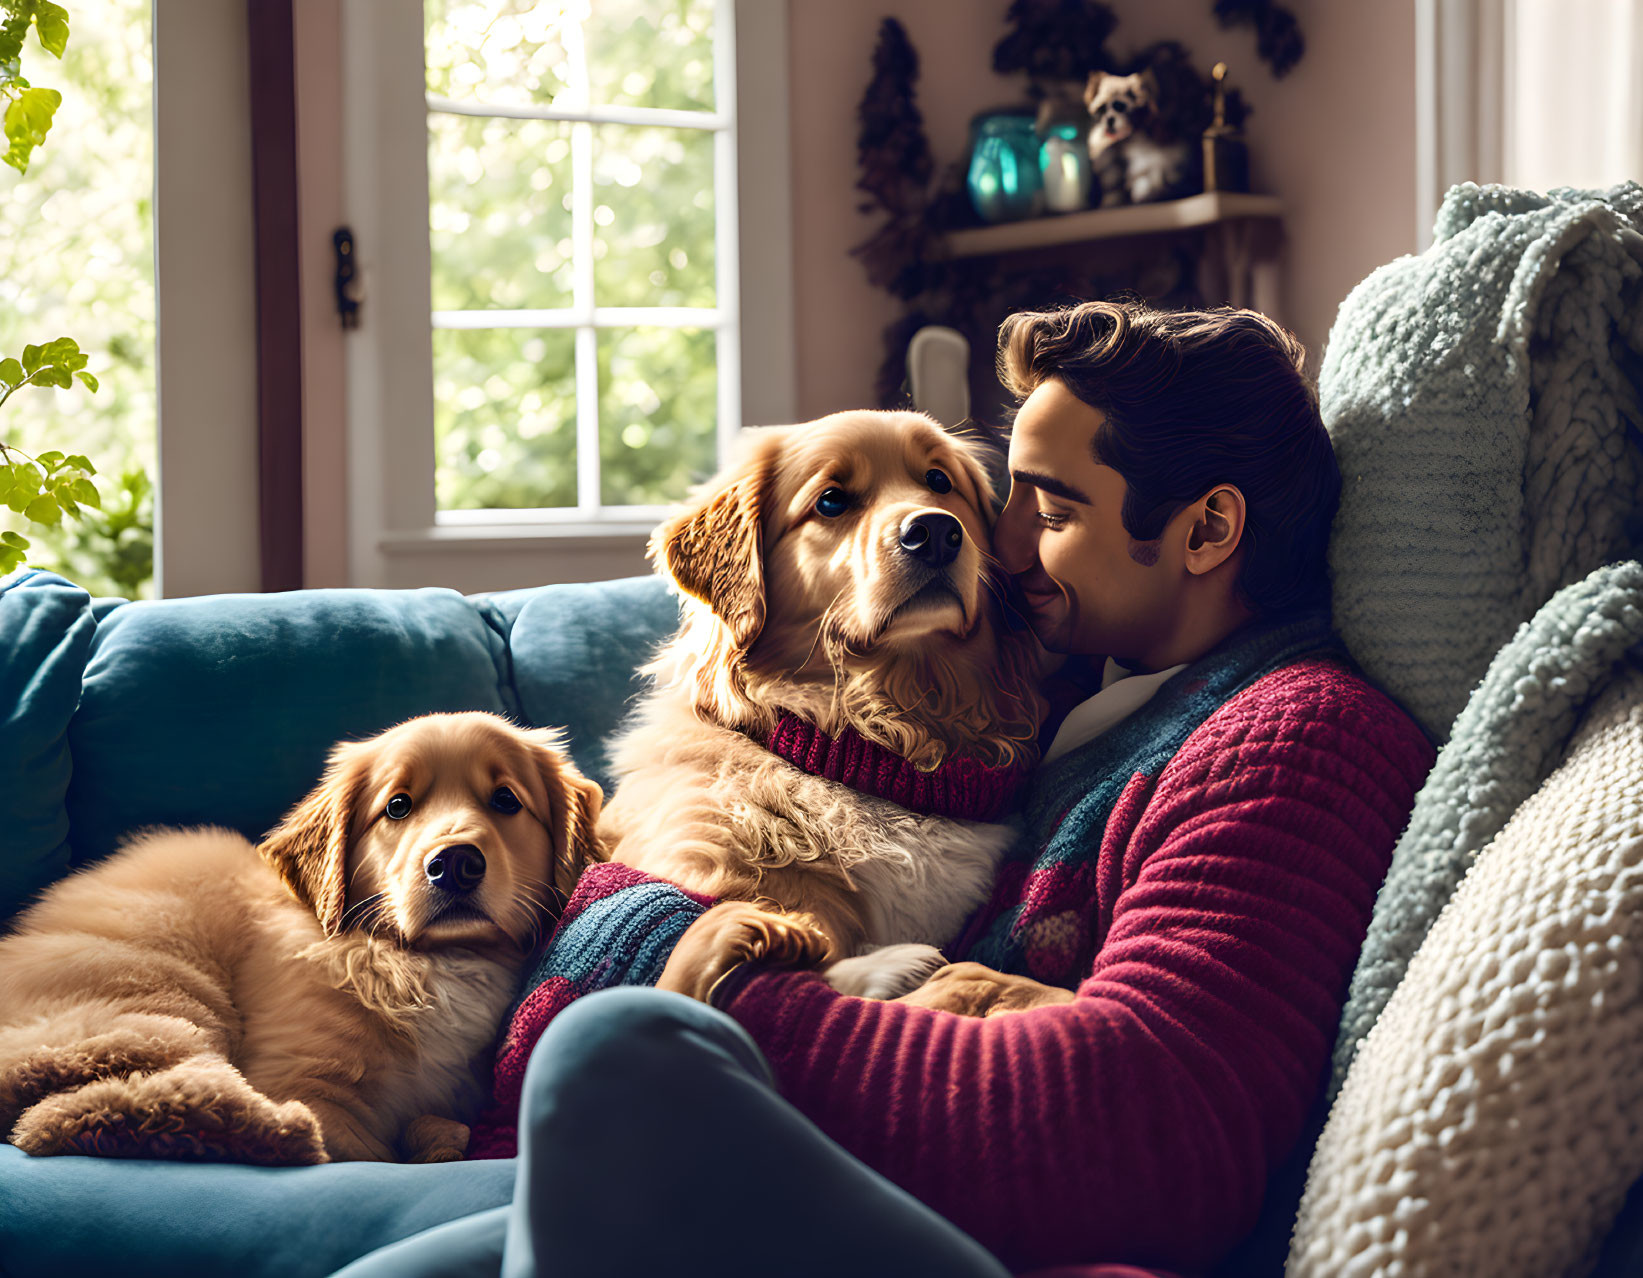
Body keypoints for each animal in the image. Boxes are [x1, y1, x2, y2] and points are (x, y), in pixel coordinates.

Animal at [0, 712, 601, 1163]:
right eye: (398, 806)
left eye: (506, 801)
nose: (454, 864)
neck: (425, 960)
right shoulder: (301, 1075)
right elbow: (361, 1151)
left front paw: (436, 1136)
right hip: (157, 1000)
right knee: (107, 1102)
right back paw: (277, 1133)